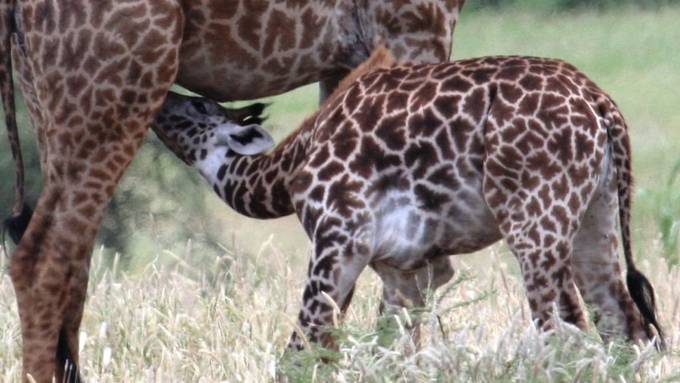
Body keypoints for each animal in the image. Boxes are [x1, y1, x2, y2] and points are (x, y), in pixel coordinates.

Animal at [0, 0, 464, 383]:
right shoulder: (414, 24)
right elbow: (412, 273)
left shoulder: (346, 62)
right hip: (117, 82)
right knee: (41, 258)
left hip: (51, 98)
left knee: (70, 265)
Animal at [151, 48, 660, 352]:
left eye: (199, 105)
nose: (162, 98)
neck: (289, 169)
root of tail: (601, 106)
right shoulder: (409, 269)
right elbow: (389, 352)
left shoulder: (337, 243)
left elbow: (303, 351)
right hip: (596, 216)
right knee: (624, 326)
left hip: (535, 222)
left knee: (566, 334)